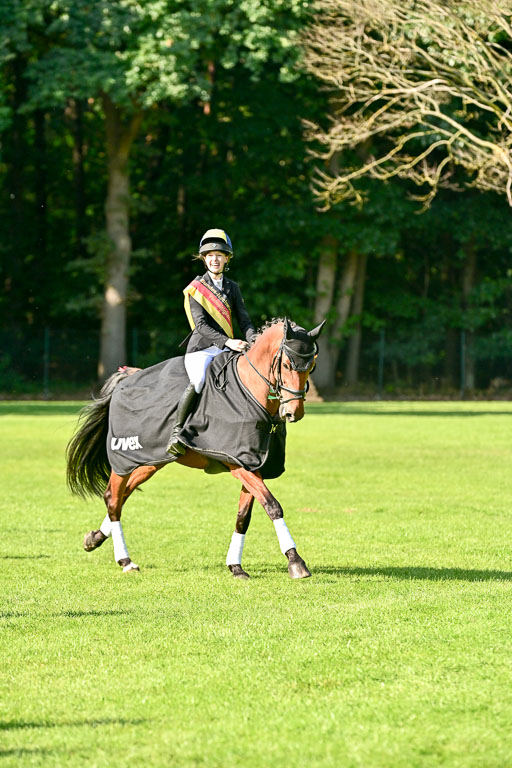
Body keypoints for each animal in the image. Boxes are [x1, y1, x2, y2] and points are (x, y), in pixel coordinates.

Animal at [66, 317, 324, 580]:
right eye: (286, 364)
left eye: (311, 366)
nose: (293, 413)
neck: (249, 393)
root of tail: (127, 379)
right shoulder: (237, 463)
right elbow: (273, 506)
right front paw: (295, 561)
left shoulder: (252, 462)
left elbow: (244, 516)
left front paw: (235, 566)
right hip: (125, 458)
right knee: (113, 498)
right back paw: (125, 560)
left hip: (152, 460)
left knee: (123, 495)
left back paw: (95, 538)